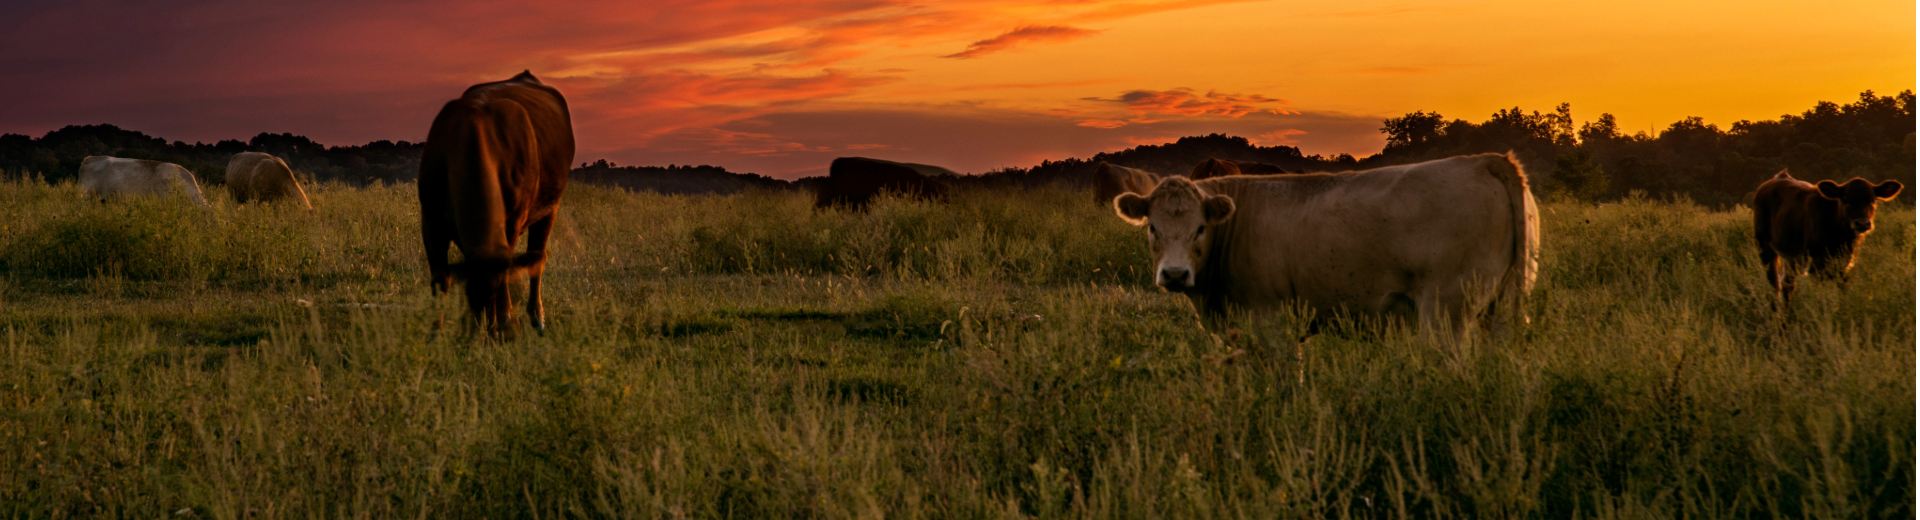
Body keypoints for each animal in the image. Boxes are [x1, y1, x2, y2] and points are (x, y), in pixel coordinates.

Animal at [419, 70, 575, 338]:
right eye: (469, 296)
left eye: (490, 298)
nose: (477, 334)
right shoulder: (430, 220)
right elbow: (440, 279)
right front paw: (435, 334)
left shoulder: (513, 222)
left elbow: (505, 276)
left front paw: (502, 323)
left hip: (549, 208)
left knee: (537, 259)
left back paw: (536, 317)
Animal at [1112, 153, 1538, 336]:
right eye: (1152, 227)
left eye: (1200, 228)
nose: (1174, 274)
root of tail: (1485, 159)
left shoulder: (1273, 320)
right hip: (1501, 306)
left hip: (1445, 308)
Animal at [1751, 170, 1902, 311]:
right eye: (1845, 200)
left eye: (1872, 200)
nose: (1862, 223)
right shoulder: (1816, 265)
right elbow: (1820, 297)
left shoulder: (1842, 264)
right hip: (1765, 248)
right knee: (1774, 286)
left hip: (1791, 257)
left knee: (1787, 284)